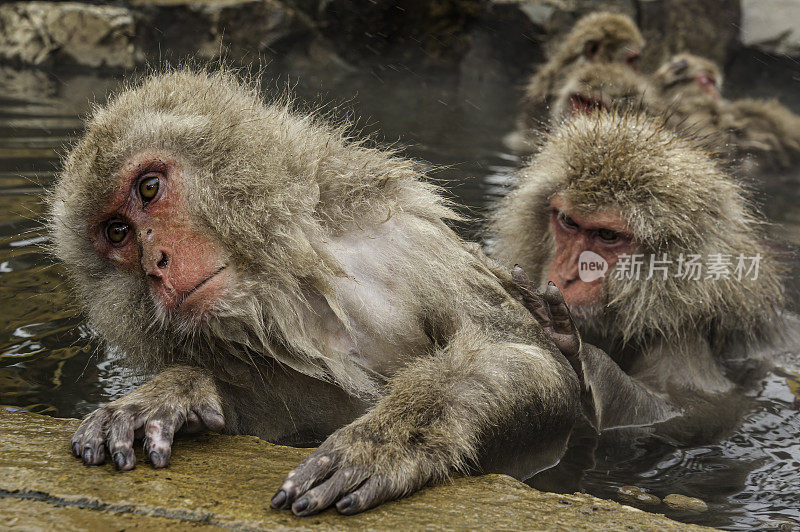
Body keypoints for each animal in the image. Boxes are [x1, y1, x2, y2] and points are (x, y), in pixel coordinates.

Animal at [47, 68, 580, 516]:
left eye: (149, 188)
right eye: (117, 233)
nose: (157, 264)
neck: (291, 284)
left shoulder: (413, 246)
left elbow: (522, 354)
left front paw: (385, 441)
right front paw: (178, 390)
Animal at [490, 109, 792, 444]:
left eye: (607, 235)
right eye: (568, 221)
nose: (567, 275)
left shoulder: (683, 329)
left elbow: (696, 411)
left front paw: (573, 352)